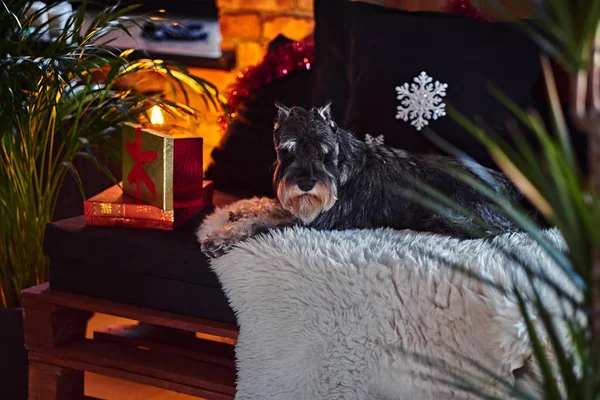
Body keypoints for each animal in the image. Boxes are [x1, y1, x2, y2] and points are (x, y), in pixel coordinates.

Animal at [202, 101, 520, 258]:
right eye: (287, 151)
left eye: (324, 152)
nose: (306, 183)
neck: (342, 166)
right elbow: (271, 205)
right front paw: (243, 209)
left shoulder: (314, 221)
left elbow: (263, 221)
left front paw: (221, 237)